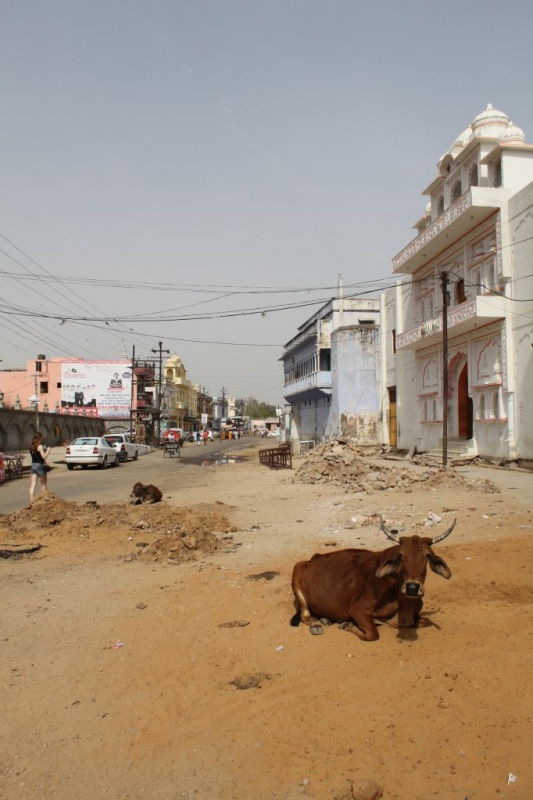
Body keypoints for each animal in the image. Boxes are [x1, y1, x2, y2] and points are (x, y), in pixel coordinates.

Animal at [290, 516, 456, 641]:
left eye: (427, 555)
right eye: (401, 555)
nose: (412, 588)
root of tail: (312, 559)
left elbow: (420, 622)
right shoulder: (357, 610)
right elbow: (372, 634)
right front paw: (347, 624)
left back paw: (325, 619)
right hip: (296, 574)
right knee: (305, 615)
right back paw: (316, 624)